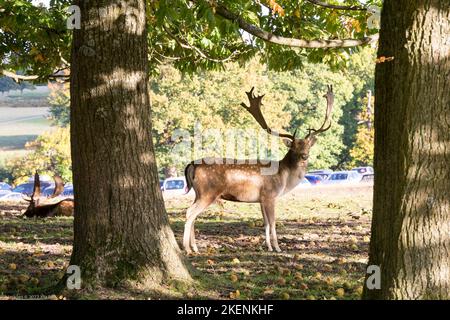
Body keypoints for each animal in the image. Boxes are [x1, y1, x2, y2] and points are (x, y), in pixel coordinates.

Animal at [183, 85, 334, 255]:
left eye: (308, 145)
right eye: (294, 146)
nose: (304, 156)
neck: (284, 177)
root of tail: (192, 165)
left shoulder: (261, 199)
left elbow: (265, 223)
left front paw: (268, 247)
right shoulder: (270, 195)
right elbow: (273, 222)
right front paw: (278, 248)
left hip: (198, 192)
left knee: (192, 214)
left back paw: (195, 248)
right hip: (208, 192)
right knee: (190, 212)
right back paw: (187, 248)